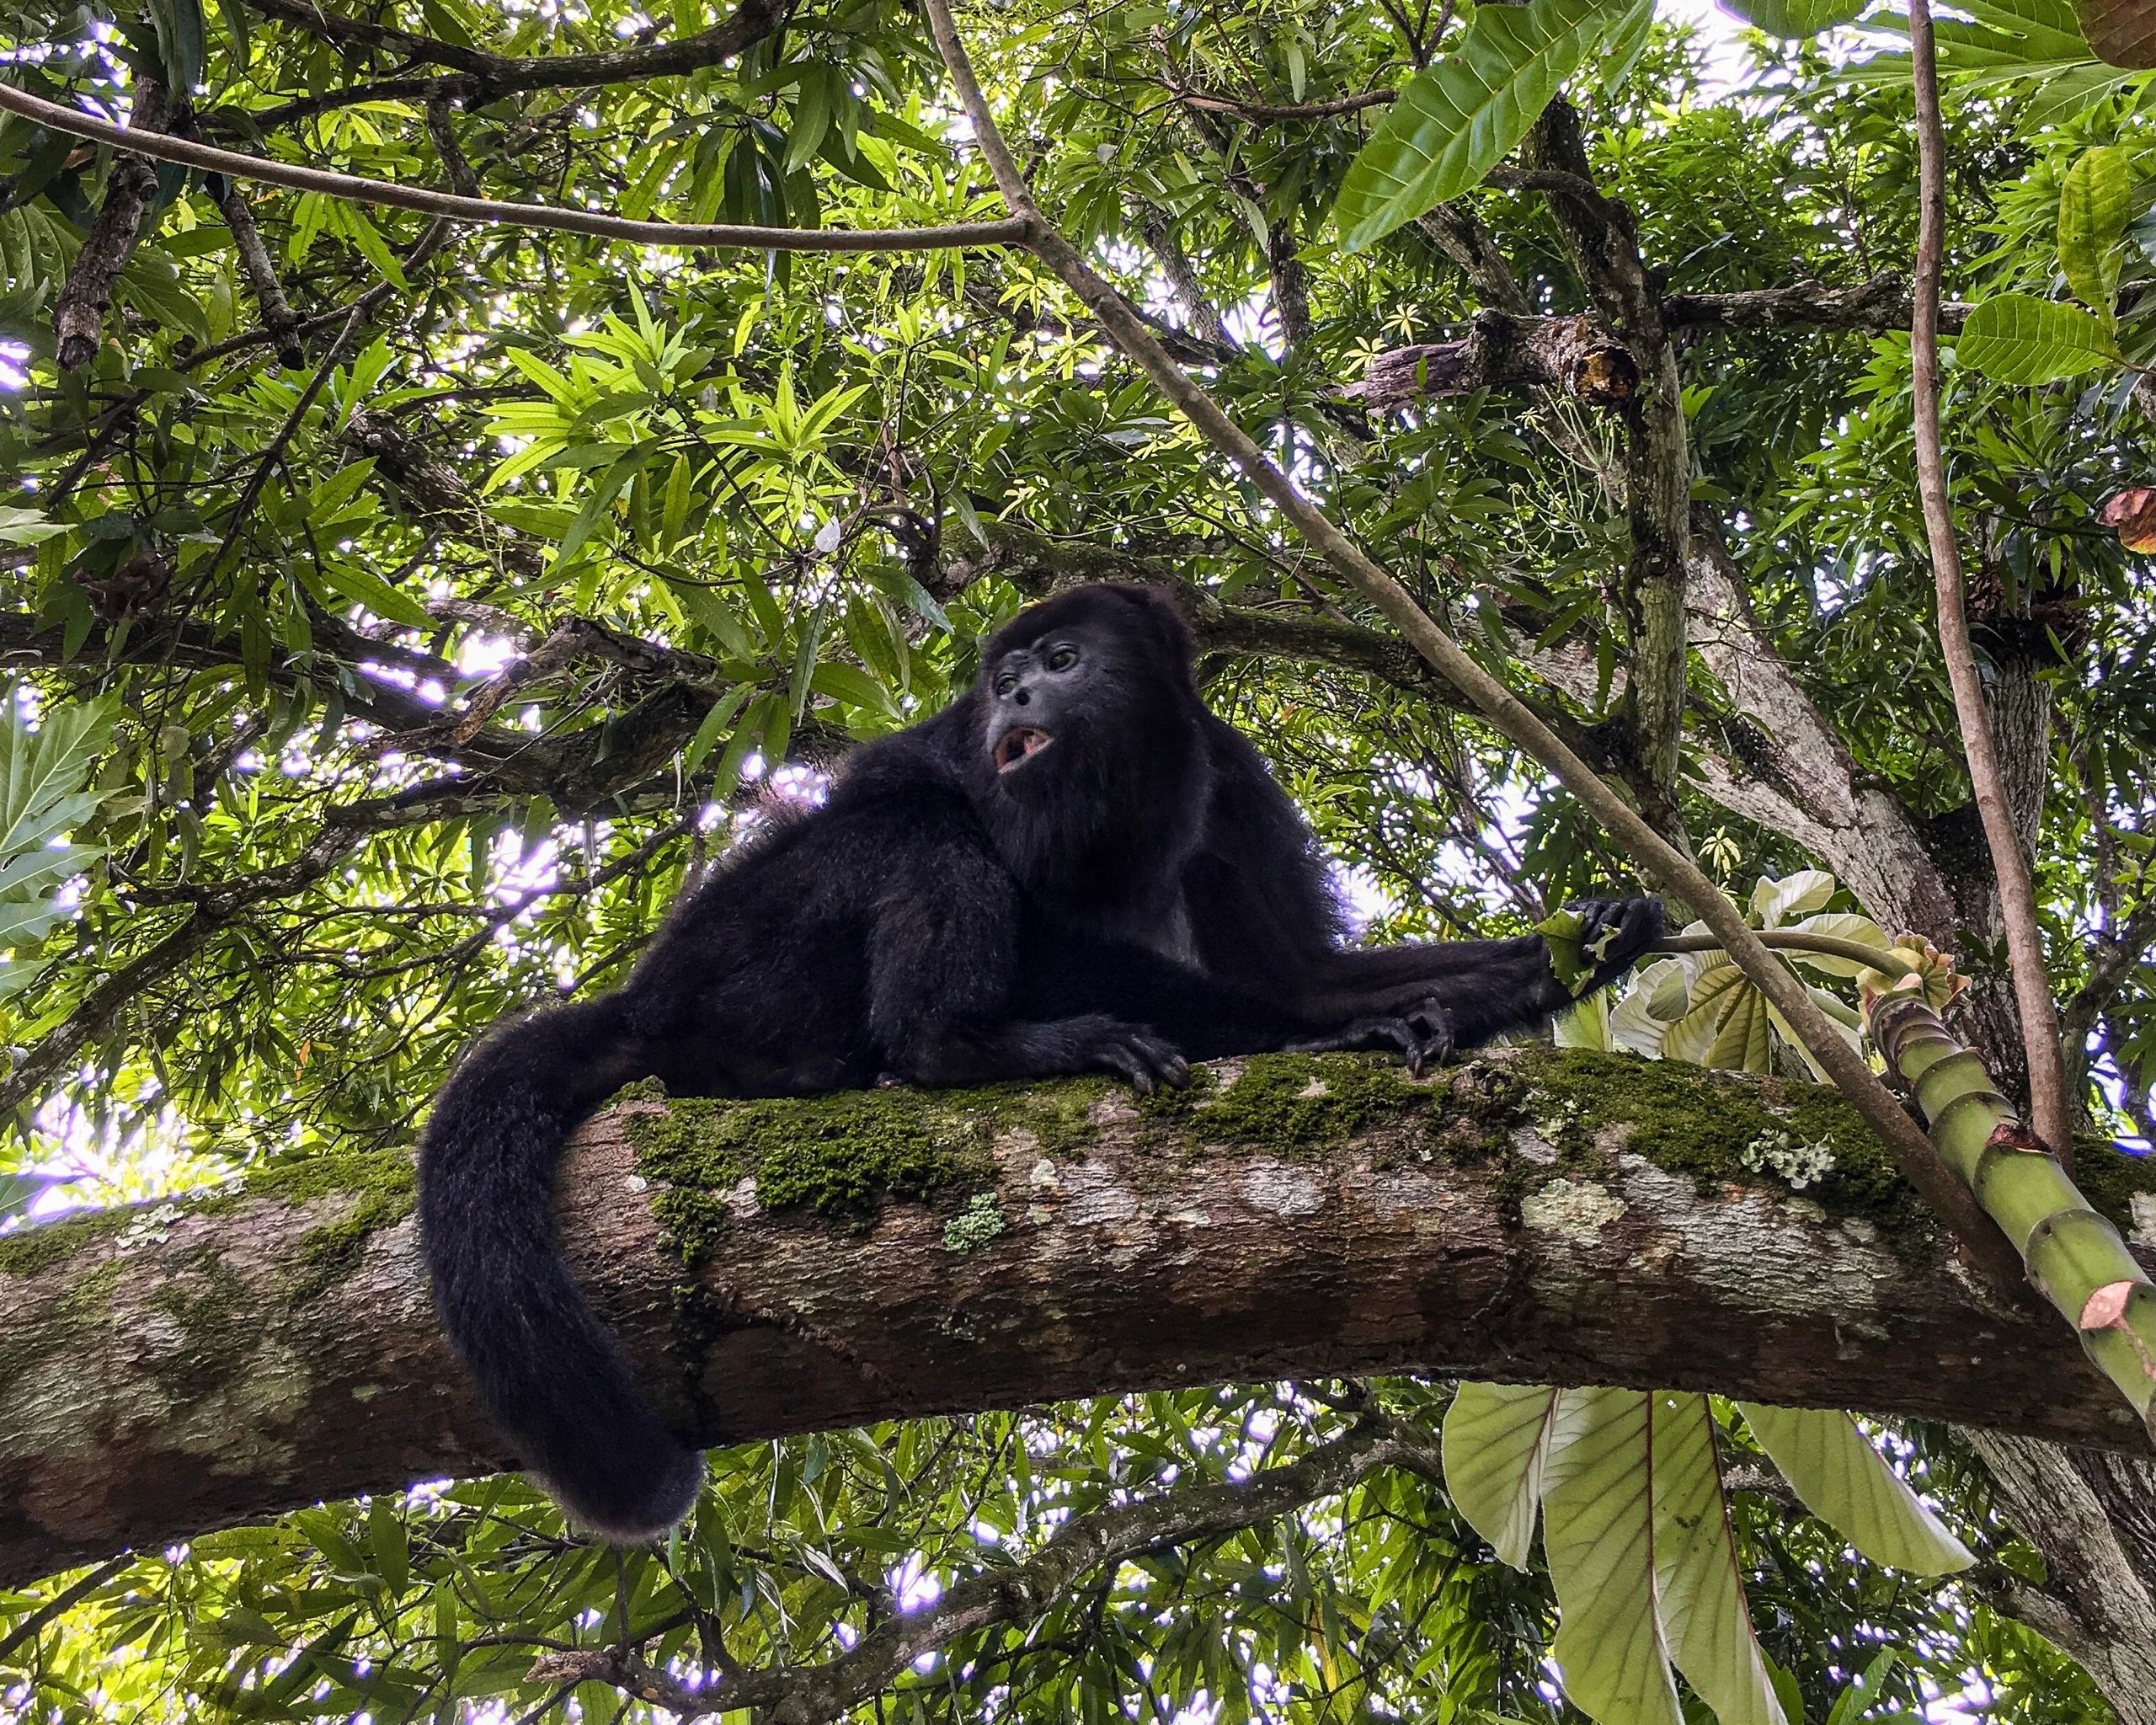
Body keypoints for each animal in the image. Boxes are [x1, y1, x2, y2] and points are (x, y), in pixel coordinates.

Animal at [418, 583, 1662, 1541]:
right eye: (1007, 675)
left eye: (1063, 661)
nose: (1016, 694)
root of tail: (644, 995)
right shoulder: (957, 750)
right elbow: (1067, 923)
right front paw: (1329, 1039)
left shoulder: (1232, 773)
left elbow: (1301, 969)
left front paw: (1570, 949)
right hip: (740, 962)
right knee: (915, 834)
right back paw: (953, 1048)